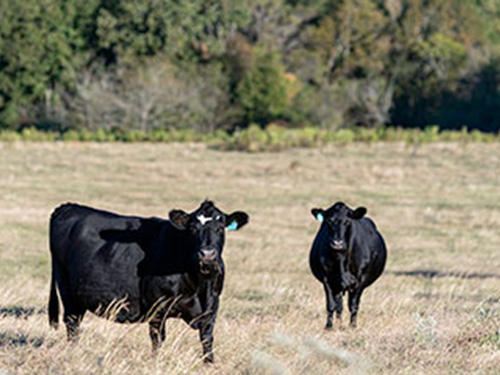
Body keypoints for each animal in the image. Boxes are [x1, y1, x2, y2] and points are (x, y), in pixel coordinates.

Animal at [48, 201, 248, 362]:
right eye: (193, 229)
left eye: (221, 228)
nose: (207, 255)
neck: (199, 285)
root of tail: (67, 207)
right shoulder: (158, 306)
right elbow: (157, 338)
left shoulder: (212, 306)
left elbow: (207, 339)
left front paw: (209, 364)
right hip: (66, 290)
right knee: (72, 324)